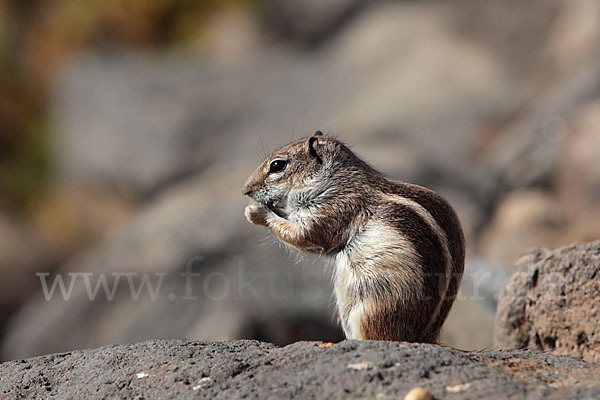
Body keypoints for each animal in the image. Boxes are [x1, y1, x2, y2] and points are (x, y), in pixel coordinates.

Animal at [241, 132, 466, 344]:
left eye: (277, 165)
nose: (245, 190)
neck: (335, 179)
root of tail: (425, 337)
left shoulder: (332, 211)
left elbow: (304, 236)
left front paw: (256, 212)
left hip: (371, 313)